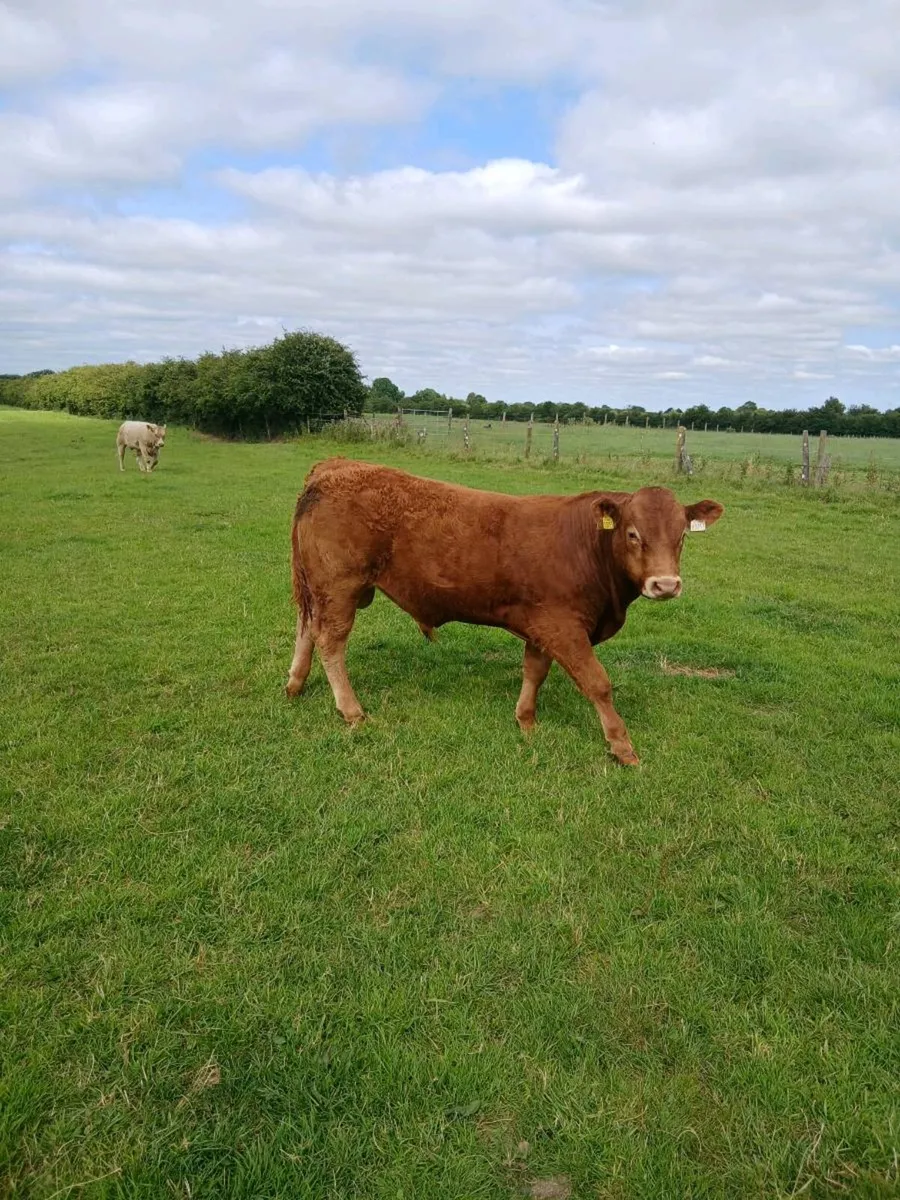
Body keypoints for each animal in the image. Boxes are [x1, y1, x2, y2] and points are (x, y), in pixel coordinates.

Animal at [286, 458, 723, 765]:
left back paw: (295, 685)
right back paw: (351, 711)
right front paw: (622, 746)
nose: (665, 585)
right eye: (633, 534)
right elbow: (597, 683)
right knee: (330, 641)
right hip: (340, 587)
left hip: (322, 589)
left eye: (682, 535)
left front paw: (526, 721)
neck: (584, 546)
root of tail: (335, 466)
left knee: (306, 628)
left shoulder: (543, 624)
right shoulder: (564, 626)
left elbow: (534, 671)